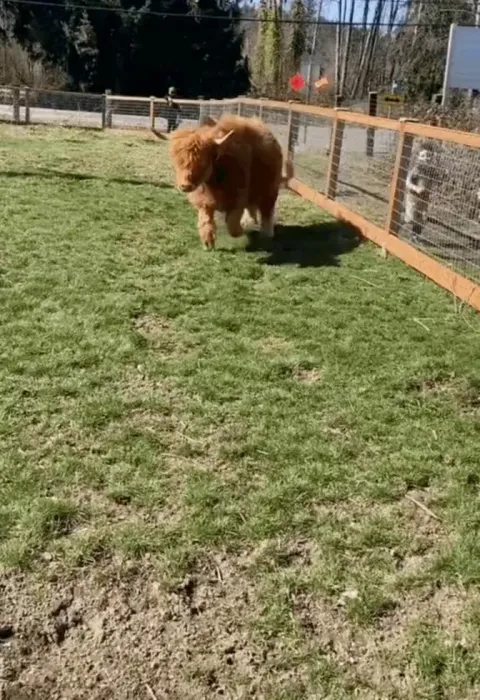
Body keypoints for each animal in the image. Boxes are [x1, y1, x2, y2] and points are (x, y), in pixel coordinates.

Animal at [169, 114, 286, 249]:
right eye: (177, 161)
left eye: (202, 161)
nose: (185, 186)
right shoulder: (205, 201)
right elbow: (205, 220)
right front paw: (208, 242)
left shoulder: (237, 199)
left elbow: (232, 226)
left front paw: (241, 231)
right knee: (252, 206)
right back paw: (248, 222)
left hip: (269, 189)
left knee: (267, 210)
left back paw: (267, 233)